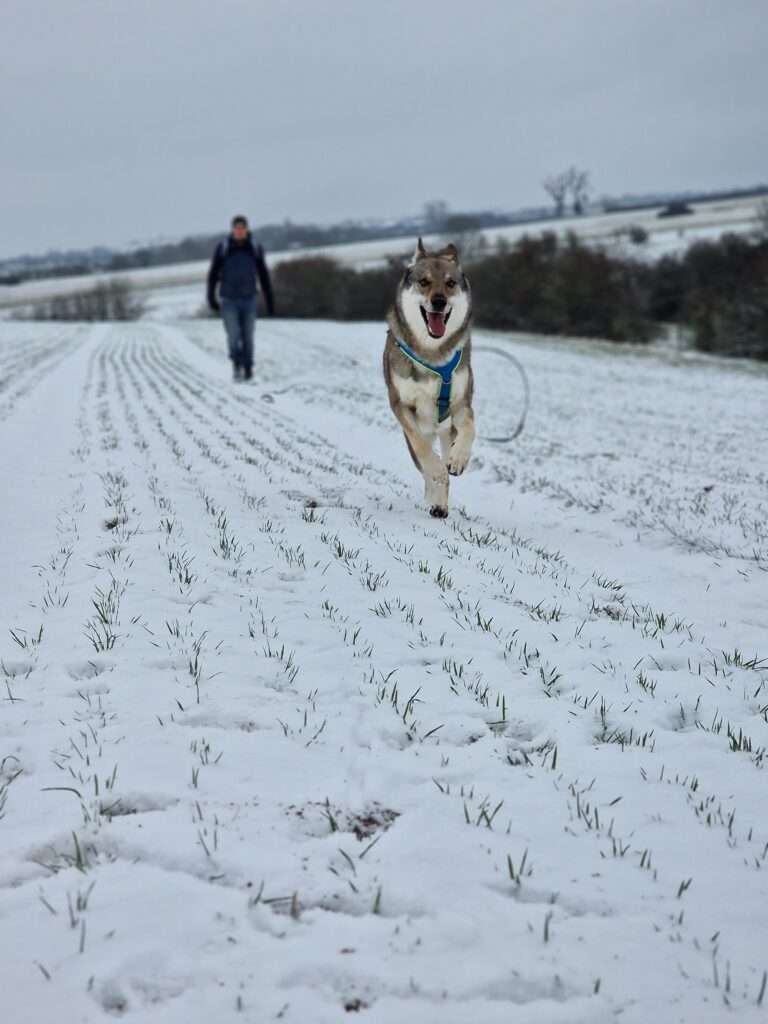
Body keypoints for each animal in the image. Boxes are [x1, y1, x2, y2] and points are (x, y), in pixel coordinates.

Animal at [385, 236, 475, 516]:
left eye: (450, 283)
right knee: (425, 463)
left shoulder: (461, 403)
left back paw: (440, 504)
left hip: (446, 431)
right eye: (424, 282)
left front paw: (459, 460)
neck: (432, 354)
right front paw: (436, 471)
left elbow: (470, 427)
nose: (438, 302)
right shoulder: (402, 406)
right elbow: (423, 450)